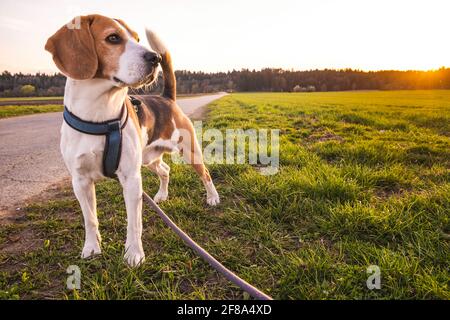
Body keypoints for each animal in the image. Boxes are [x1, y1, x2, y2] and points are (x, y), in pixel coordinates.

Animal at [45, 13, 220, 266]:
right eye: (113, 38)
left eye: (137, 38)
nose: (155, 57)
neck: (100, 114)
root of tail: (166, 98)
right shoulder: (80, 181)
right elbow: (90, 219)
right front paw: (91, 247)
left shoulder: (131, 178)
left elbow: (134, 223)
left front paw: (134, 254)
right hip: (148, 159)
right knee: (165, 170)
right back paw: (162, 195)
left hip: (189, 152)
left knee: (205, 174)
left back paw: (213, 197)